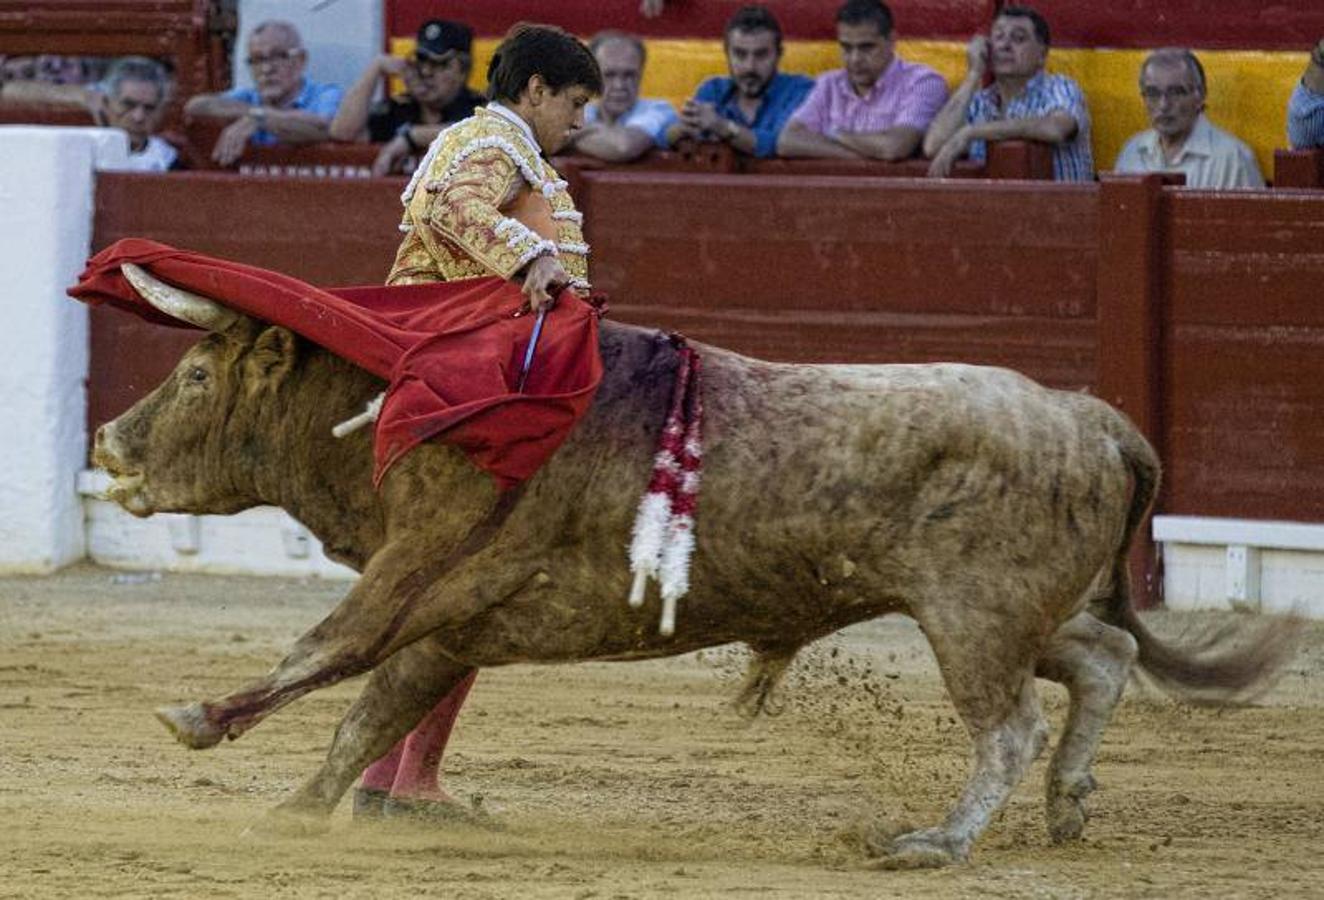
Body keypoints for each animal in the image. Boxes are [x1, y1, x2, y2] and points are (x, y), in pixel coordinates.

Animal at [88, 271, 1286, 868]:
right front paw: (293, 814)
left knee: (1011, 723)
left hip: (972, 617)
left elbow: (324, 653)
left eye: (196, 376)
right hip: (1010, 613)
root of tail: (1092, 417)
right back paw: (1069, 806)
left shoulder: (418, 575)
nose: (104, 441)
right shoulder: (451, 621)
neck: (411, 406)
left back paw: (935, 842)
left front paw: (195, 721)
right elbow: (370, 714)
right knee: (1102, 655)